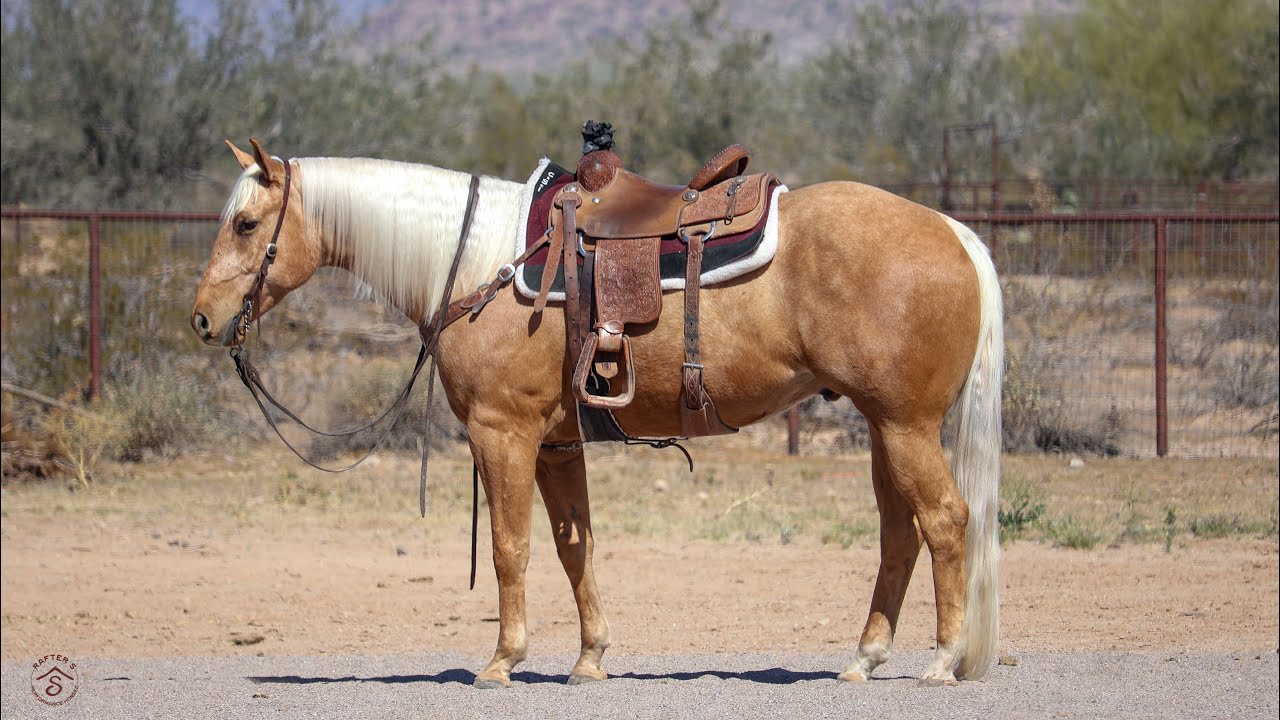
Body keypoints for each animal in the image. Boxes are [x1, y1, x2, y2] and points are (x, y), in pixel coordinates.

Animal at [191, 139, 1004, 688]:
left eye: (245, 224)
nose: (203, 319)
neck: (479, 261)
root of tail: (954, 231)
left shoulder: (503, 434)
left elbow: (510, 549)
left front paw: (503, 659)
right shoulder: (557, 444)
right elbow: (573, 546)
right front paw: (589, 659)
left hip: (905, 426)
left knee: (944, 522)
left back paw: (940, 660)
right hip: (885, 427)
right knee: (900, 534)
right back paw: (865, 657)